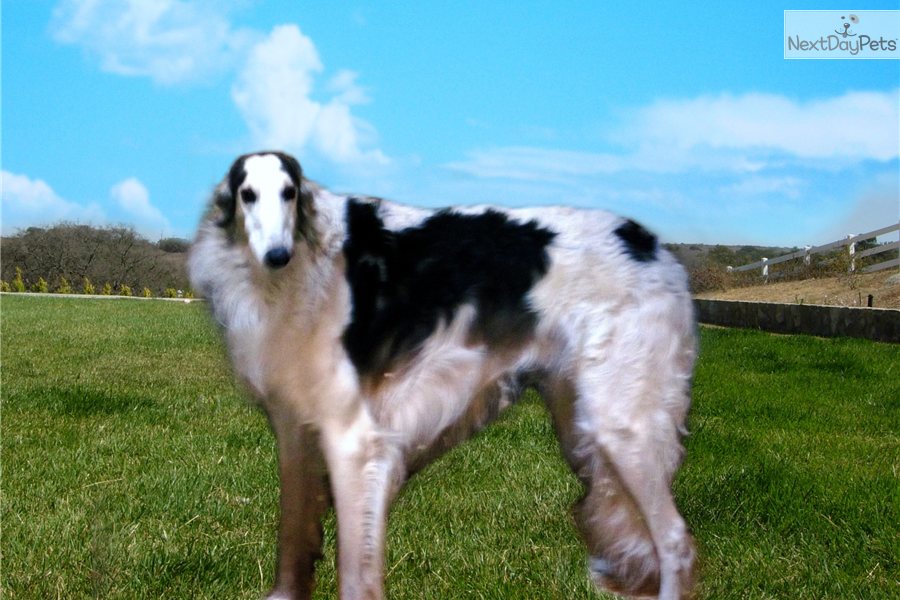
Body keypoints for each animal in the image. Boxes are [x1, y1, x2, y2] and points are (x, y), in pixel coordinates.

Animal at [188, 151, 696, 600]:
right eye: (248, 195)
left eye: (289, 193)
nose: (278, 254)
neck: (302, 267)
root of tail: (653, 246)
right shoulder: (294, 432)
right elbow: (293, 544)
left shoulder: (355, 440)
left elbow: (354, 572)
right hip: (581, 423)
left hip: (621, 427)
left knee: (675, 540)